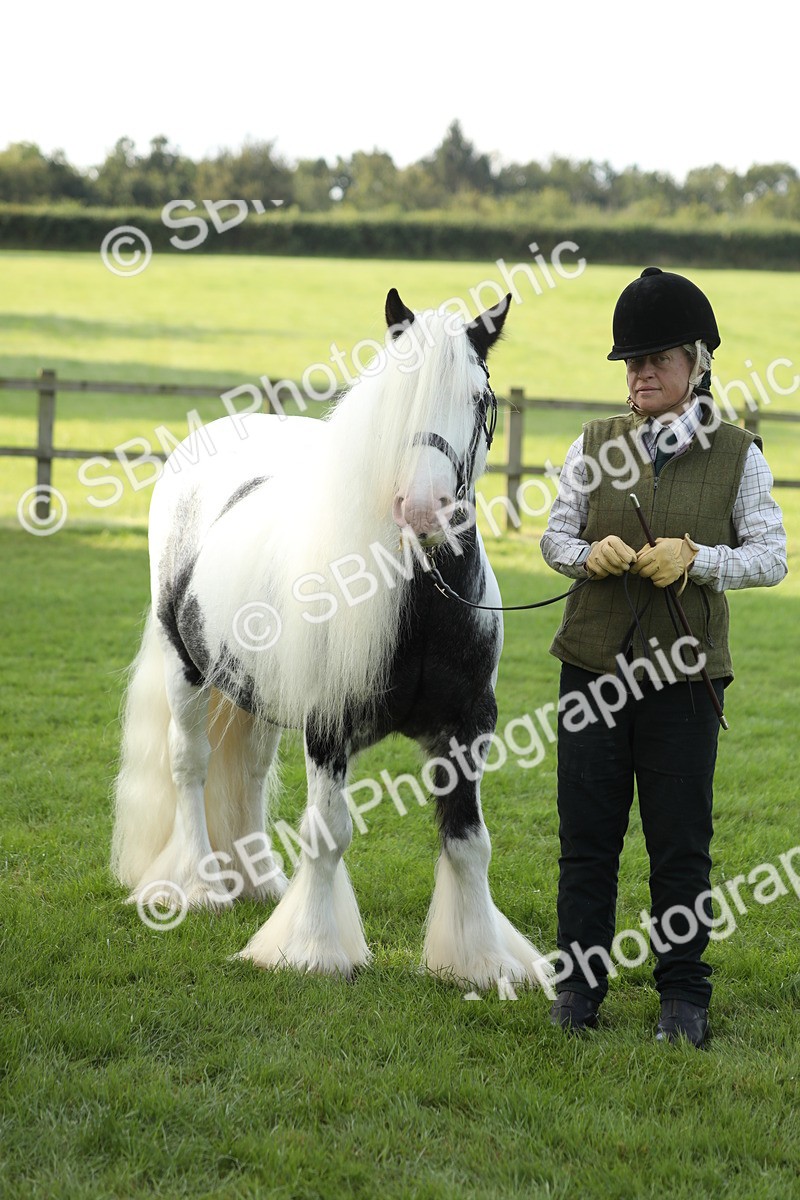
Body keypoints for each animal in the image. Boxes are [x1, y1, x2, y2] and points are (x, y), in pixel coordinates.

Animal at [111, 287, 553, 992]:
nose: (423, 508)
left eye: (479, 398)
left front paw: (481, 961)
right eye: (392, 400)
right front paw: (314, 949)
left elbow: (469, 841)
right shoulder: (328, 725)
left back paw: (257, 882)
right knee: (191, 767)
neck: (420, 601)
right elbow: (328, 832)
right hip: (186, 670)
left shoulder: (468, 725)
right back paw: (202, 886)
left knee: (250, 770)